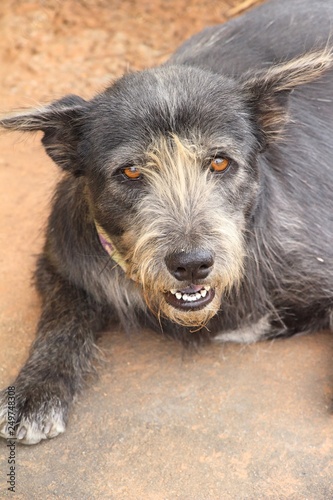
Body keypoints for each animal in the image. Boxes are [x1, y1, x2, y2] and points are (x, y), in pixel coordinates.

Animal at [0, 0, 332, 446]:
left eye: (220, 161)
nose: (192, 264)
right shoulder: (58, 265)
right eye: (131, 172)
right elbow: (62, 316)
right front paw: (36, 387)